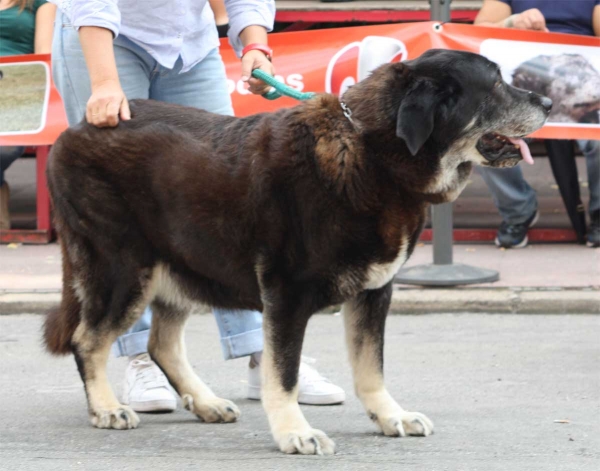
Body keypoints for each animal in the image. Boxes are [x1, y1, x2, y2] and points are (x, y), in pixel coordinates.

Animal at [44, 49, 552, 456]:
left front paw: (390, 416)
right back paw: (107, 407)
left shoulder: (374, 292)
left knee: (161, 343)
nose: (548, 103)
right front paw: (294, 432)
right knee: (88, 340)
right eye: (496, 85)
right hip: (124, 270)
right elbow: (282, 374)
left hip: (182, 266)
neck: (375, 153)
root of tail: (75, 129)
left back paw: (205, 403)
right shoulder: (287, 296)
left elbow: (371, 367)